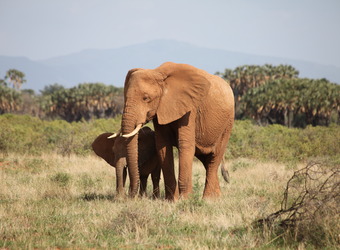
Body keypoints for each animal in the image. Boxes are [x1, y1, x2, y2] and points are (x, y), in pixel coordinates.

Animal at [119, 61, 234, 200]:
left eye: (146, 98)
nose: (130, 195)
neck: (158, 73)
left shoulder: (189, 108)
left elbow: (185, 145)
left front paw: (185, 200)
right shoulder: (161, 108)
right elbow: (162, 147)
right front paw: (171, 200)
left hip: (227, 123)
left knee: (215, 157)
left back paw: (208, 199)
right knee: (207, 160)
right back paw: (216, 197)